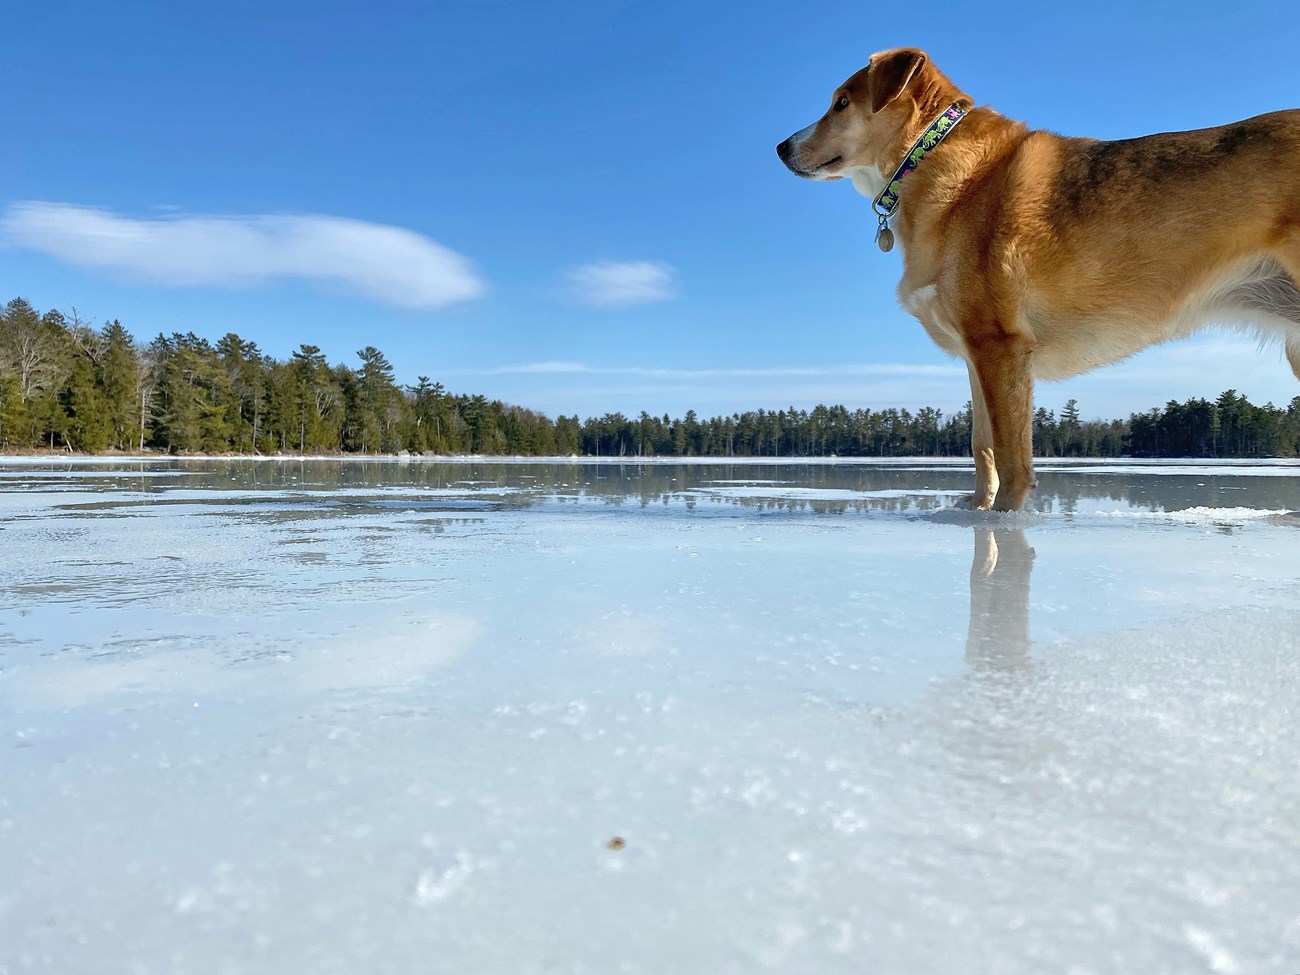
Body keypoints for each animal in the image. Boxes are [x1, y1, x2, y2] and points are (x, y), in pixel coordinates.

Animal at [774, 47, 1300, 512]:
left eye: (842, 102)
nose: (780, 147)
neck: (928, 156)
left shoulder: (1001, 347)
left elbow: (1011, 458)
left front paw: (1007, 517)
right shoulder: (977, 354)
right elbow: (981, 444)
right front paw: (976, 511)